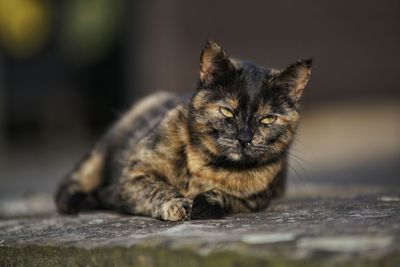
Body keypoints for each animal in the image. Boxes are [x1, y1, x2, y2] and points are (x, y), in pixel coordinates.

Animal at [55, 40, 312, 222]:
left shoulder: (260, 198)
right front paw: (177, 204)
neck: (207, 166)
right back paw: (80, 201)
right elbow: (158, 189)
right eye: (227, 111)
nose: (245, 138)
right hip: (99, 155)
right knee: (69, 184)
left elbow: (228, 195)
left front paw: (204, 204)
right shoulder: (133, 176)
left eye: (268, 119)